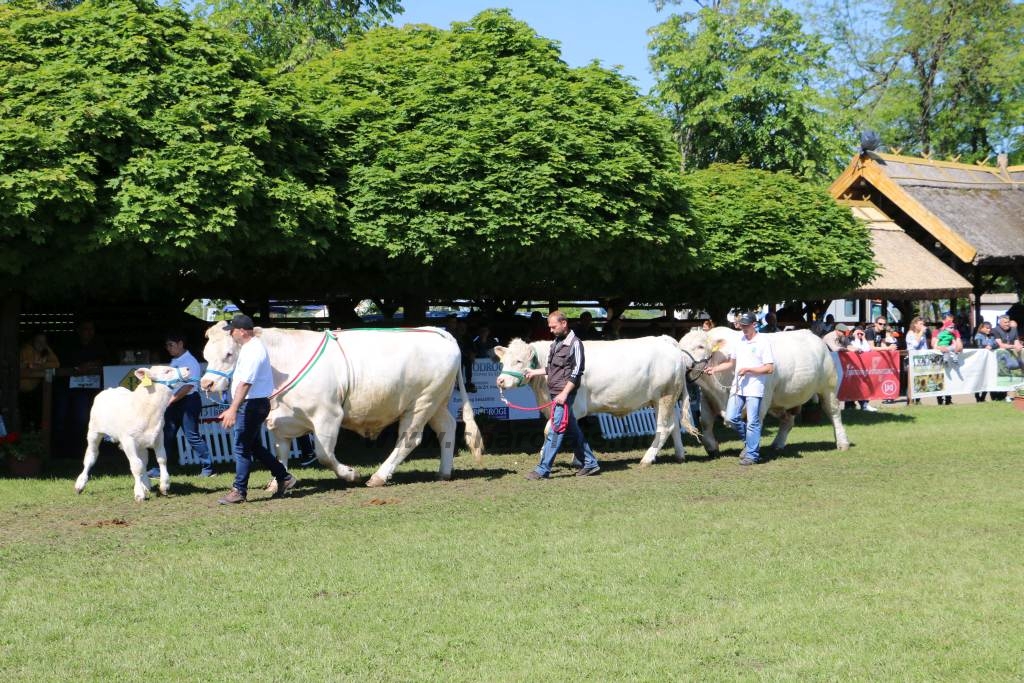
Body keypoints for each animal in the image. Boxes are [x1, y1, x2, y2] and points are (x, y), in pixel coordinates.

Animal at [74, 368, 191, 501]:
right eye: (167, 371)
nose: (187, 368)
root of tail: (111, 389)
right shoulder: (128, 440)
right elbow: (136, 465)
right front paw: (139, 493)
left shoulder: (159, 437)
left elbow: (162, 459)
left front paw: (164, 485)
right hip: (94, 432)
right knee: (90, 456)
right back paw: (80, 484)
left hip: (141, 443)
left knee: (144, 460)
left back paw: (146, 484)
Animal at [203, 325, 487, 489]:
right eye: (205, 354)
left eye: (229, 354)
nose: (206, 383)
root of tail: (440, 333)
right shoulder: (279, 420)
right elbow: (279, 453)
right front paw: (277, 483)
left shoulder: (328, 415)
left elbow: (324, 454)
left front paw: (351, 474)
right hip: (437, 400)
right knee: (447, 428)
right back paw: (444, 472)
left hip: (421, 403)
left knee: (409, 439)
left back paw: (378, 476)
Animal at [489, 335, 696, 464]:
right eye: (503, 361)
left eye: (518, 361)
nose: (500, 381)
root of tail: (665, 340)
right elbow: (574, 431)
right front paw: (578, 459)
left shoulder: (574, 406)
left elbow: (550, 429)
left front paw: (543, 457)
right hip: (662, 399)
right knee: (674, 425)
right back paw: (679, 455)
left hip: (665, 396)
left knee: (664, 427)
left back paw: (647, 458)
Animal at [675, 327, 851, 456]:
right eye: (679, 346)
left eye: (700, 346)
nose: (680, 363)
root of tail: (812, 334)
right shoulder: (708, 397)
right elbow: (705, 421)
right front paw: (712, 447)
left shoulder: (762, 398)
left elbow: (753, 422)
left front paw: (749, 449)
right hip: (779, 400)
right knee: (787, 420)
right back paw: (777, 444)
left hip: (828, 387)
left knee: (834, 412)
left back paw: (842, 443)